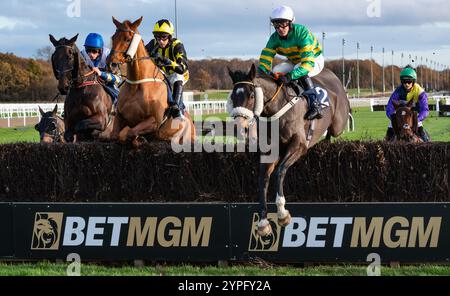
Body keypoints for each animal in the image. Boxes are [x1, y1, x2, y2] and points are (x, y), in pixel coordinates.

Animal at [107, 16, 197, 147]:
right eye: (113, 37)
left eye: (128, 39)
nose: (111, 64)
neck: (137, 85)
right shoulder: (119, 116)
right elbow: (115, 135)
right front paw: (139, 139)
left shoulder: (155, 120)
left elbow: (129, 133)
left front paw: (139, 140)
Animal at [229, 64, 352, 236]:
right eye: (233, 96)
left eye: (252, 95)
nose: (240, 128)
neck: (276, 109)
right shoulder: (269, 151)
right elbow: (263, 179)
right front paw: (263, 223)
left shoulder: (299, 145)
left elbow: (280, 171)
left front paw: (282, 213)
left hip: (338, 124)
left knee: (333, 131)